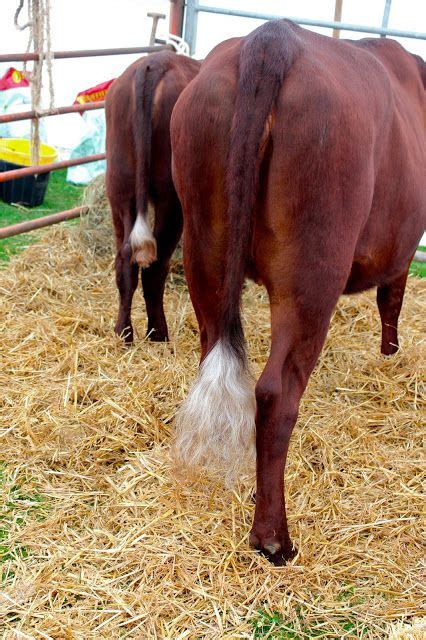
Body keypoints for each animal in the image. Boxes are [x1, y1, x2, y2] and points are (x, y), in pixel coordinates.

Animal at [105, 52, 201, 342]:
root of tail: (156, 62)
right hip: (172, 198)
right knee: (156, 267)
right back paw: (158, 333)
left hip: (120, 187)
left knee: (125, 257)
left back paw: (124, 333)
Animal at [171, 22, 426, 564]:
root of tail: (272, 39)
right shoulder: (403, 247)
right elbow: (392, 299)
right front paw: (391, 354)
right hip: (312, 268)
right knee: (276, 393)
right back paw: (274, 538)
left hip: (203, 244)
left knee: (214, 356)